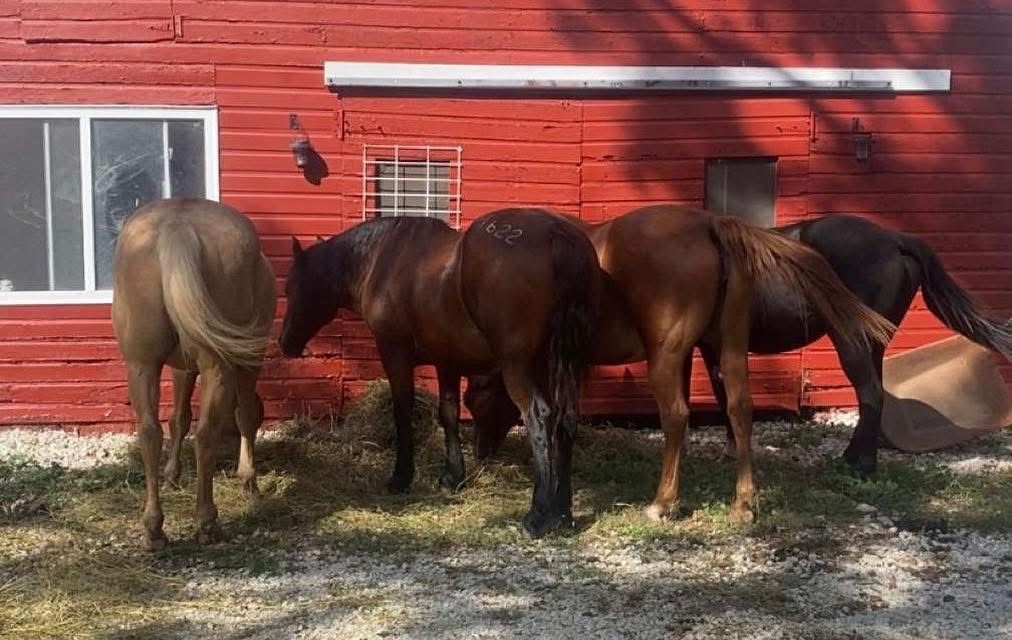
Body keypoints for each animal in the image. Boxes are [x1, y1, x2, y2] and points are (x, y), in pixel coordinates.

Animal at [112, 198, 276, 550]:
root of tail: (178, 224)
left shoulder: (180, 367)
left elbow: (178, 418)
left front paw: (171, 474)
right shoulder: (248, 360)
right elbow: (245, 415)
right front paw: (249, 480)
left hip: (141, 365)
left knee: (150, 432)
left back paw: (154, 529)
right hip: (220, 366)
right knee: (206, 433)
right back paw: (207, 521)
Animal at [279, 209, 600, 538]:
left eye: (293, 287)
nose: (285, 342)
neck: (382, 259)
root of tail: (555, 232)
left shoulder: (394, 352)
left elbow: (403, 411)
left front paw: (401, 477)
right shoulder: (447, 361)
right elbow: (449, 414)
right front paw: (453, 476)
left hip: (519, 366)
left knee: (539, 417)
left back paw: (538, 514)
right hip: (561, 367)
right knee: (566, 420)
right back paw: (562, 513)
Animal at [465, 205, 895, 523]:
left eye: (476, 400)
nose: (482, 453)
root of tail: (711, 223)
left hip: (665, 358)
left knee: (674, 415)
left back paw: (662, 502)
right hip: (729, 349)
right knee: (740, 409)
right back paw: (742, 503)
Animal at [706, 214, 1012, 475]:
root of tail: (895, 238)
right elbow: (724, 395)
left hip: (852, 340)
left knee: (871, 393)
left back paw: (858, 466)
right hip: (874, 345)